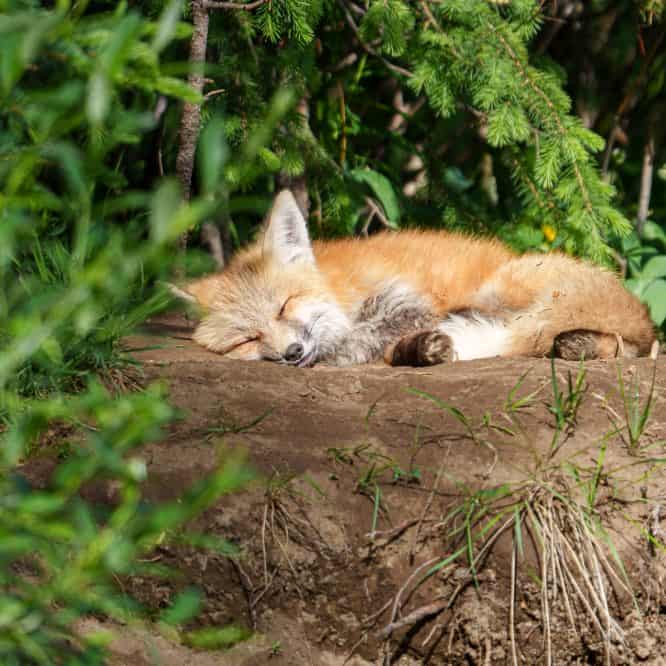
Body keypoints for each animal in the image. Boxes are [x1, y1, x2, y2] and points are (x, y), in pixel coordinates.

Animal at [171, 190, 656, 368]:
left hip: (503, 287)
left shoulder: (410, 301)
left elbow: (361, 338)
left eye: (284, 305)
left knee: (626, 346)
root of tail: (642, 310)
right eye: (246, 339)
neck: (341, 289)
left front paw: (335, 352)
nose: (292, 353)